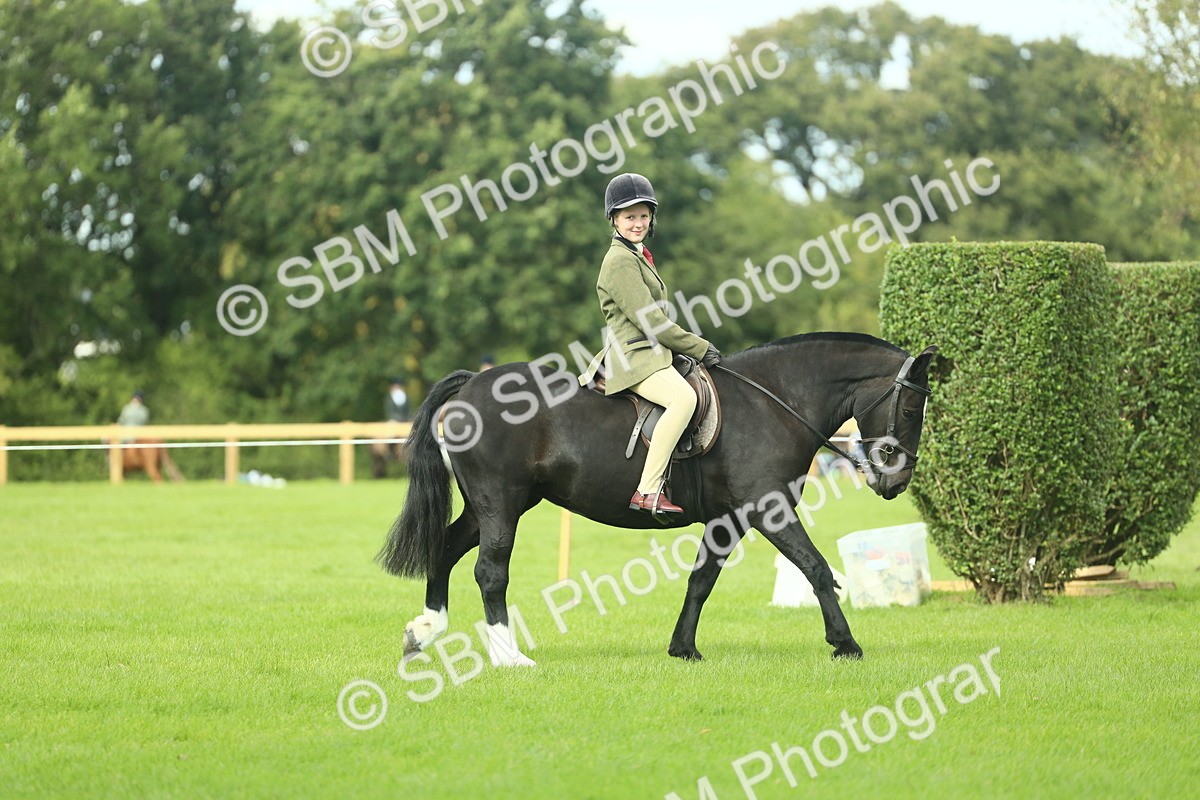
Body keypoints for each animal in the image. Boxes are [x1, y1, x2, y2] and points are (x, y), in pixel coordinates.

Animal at [378, 332, 937, 665]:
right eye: (911, 408)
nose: (896, 482)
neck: (774, 401)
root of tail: (473, 383)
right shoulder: (769, 508)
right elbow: (817, 569)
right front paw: (845, 644)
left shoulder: (729, 519)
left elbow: (701, 581)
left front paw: (683, 648)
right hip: (501, 506)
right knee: (490, 572)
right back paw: (509, 657)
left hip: (488, 507)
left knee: (445, 551)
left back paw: (425, 631)